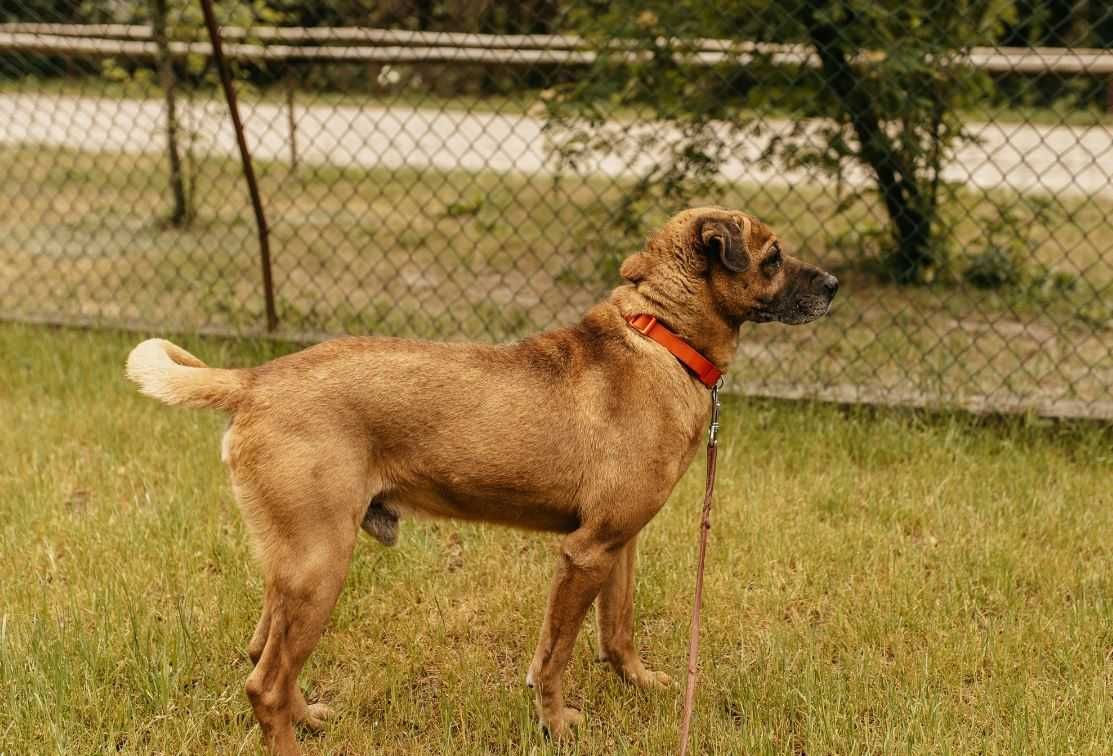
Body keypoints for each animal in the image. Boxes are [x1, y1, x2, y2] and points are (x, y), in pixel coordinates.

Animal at [124, 207, 836, 756]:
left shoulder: (620, 545)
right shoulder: (584, 554)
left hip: (294, 567)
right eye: (773, 257)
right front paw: (555, 724)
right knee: (263, 682)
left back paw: (308, 718)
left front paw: (638, 684)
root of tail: (254, 382)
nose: (833, 284)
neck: (660, 337)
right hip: (320, 565)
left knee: (261, 655)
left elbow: (618, 632)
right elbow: (554, 657)